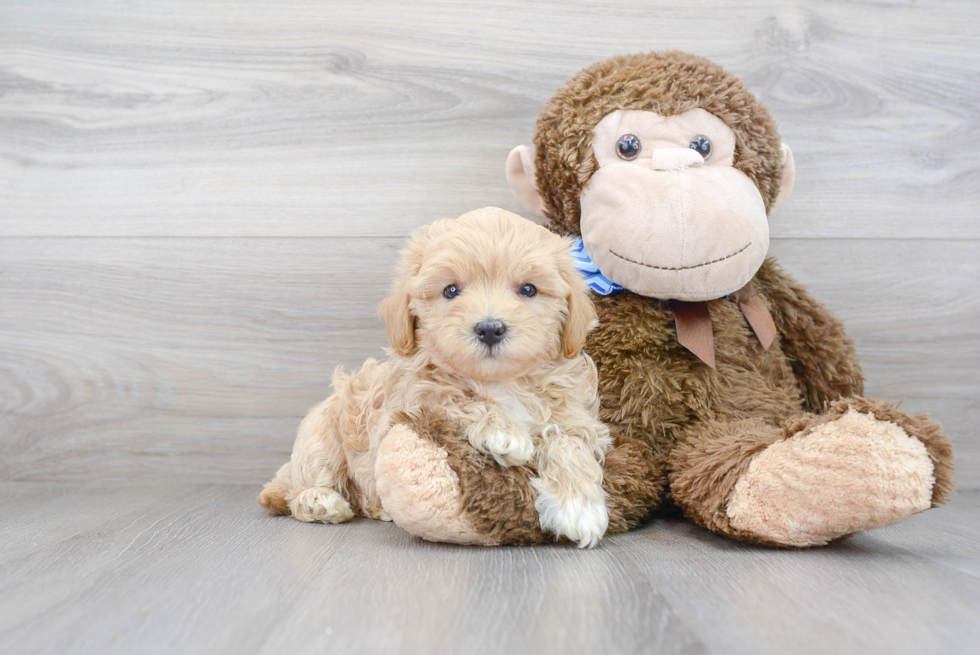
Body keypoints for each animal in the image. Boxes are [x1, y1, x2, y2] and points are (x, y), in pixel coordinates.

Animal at [260, 208, 612, 544]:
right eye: (451, 290)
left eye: (528, 289)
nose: (490, 328)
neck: (499, 381)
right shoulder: (409, 402)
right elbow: (454, 396)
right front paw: (503, 432)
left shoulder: (575, 416)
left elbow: (568, 441)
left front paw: (579, 505)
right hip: (320, 437)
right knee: (301, 485)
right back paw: (319, 501)